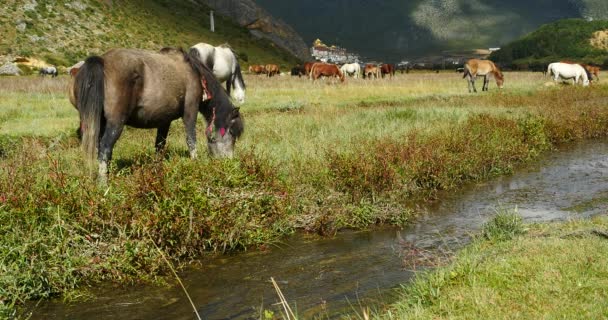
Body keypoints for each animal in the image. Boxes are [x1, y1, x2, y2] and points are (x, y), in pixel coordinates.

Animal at [69, 47, 245, 182]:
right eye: (232, 132)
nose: (228, 162)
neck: (195, 73)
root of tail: (102, 61)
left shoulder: (164, 121)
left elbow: (160, 146)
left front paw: (156, 170)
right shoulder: (190, 110)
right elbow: (191, 140)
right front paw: (196, 164)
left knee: (100, 148)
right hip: (115, 123)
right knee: (105, 148)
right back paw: (103, 183)